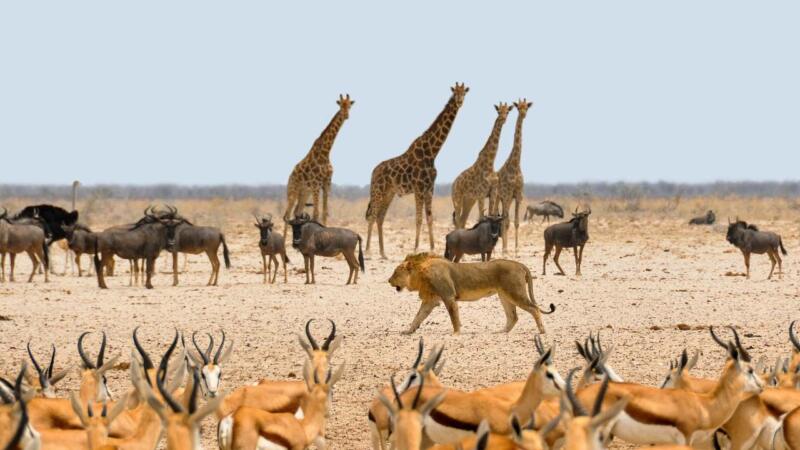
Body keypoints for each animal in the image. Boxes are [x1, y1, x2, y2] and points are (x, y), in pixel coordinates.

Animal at [282, 94, 354, 236]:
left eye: (349, 105)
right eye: (340, 105)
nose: (346, 115)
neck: (325, 153)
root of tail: (290, 177)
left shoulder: (326, 183)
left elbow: (324, 212)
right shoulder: (316, 184)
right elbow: (316, 213)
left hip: (305, 193)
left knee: (297, 212)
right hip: (293, 191)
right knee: (287, 215)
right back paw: (283, 240)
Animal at [364, 82, 468, 258]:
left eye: (464, 93)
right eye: (455, 93)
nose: (460, 102)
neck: (432, 152)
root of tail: (373, 172)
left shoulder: (430, 187)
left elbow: (430, 218)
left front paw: (432, 248)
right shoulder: (419, 187)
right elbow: (419, 218)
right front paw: (416, 248)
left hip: (389, 193)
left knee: (380, 217)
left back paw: (383, 253)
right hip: (378, 190)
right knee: (372, 215)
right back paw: (368, 250)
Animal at [390, 253, 556, 334]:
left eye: (396, 273)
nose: (388, 280)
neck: (420, 274)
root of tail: (520, 264)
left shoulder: (449, 297)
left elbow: (454, 317)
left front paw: (456, 333)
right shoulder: (430, 301)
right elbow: (418, 317)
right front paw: (408, 331)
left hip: (515, 293)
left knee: (534, 309)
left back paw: (542, 331)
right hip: (504, 296)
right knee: (513, 316)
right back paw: (502, 331)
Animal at [496, 97, 536, 255]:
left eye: (527, 107)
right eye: (519, 107)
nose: (523, 114)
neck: (515, 165)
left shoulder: (518, 195)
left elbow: (517, 222)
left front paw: (517, 248)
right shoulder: (507, 195)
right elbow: (506, 222)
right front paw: (505, 249)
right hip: (498, 197)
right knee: (498, 217)